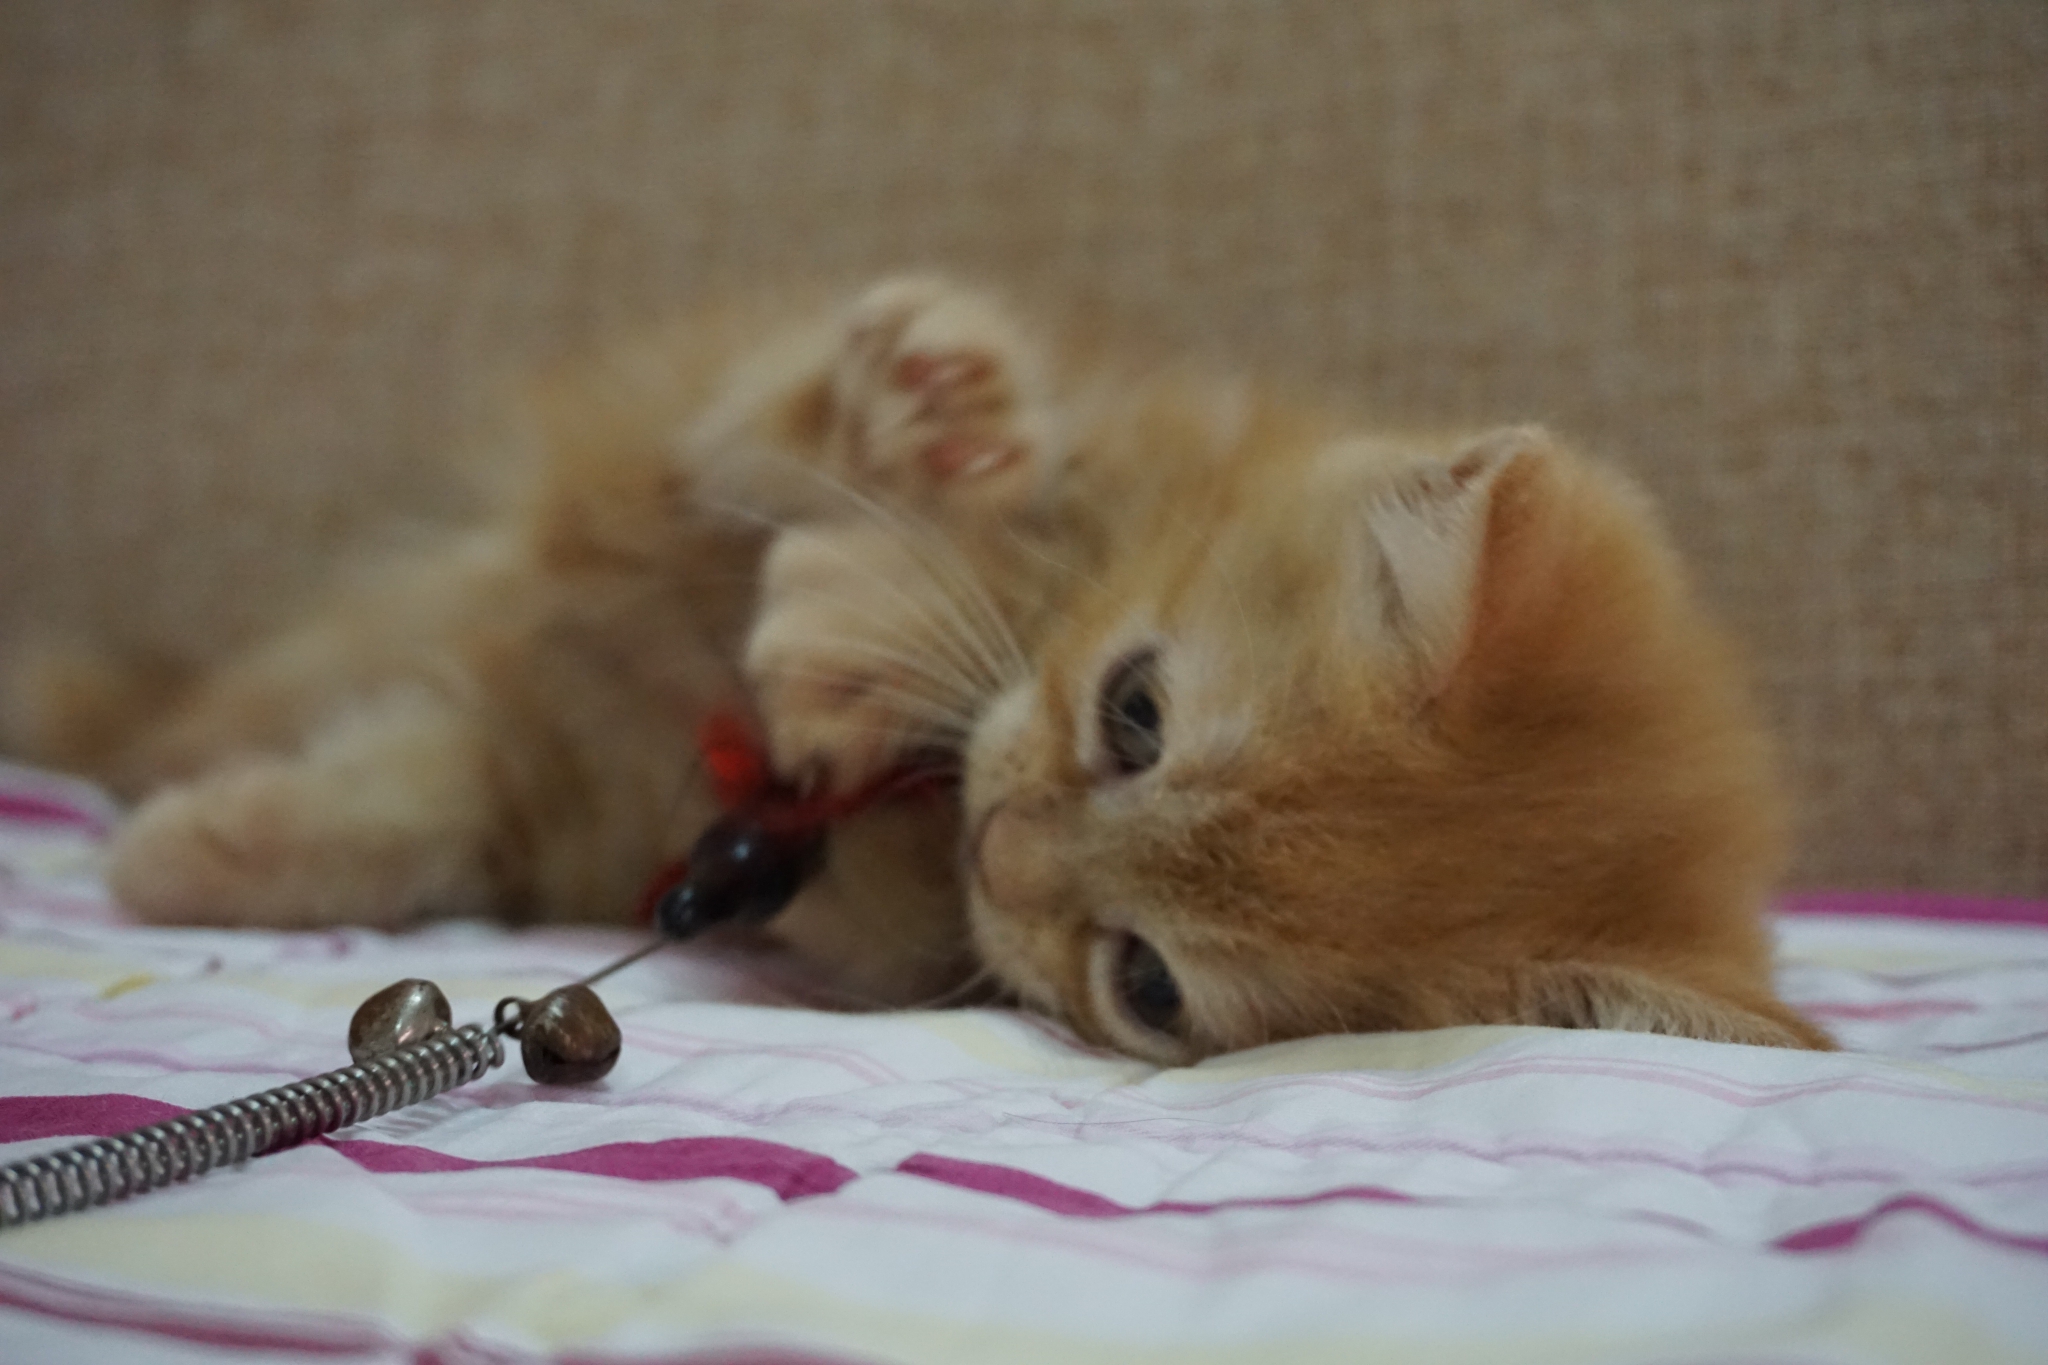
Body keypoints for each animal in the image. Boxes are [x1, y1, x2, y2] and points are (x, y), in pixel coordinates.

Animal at [2, 275, 1832, 1061]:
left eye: (1147, 985)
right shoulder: (648, 494)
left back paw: (203, 835)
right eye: (1134, 712)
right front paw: (918, 435)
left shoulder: (711, 858)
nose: (1006, 846)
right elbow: (747, 439)